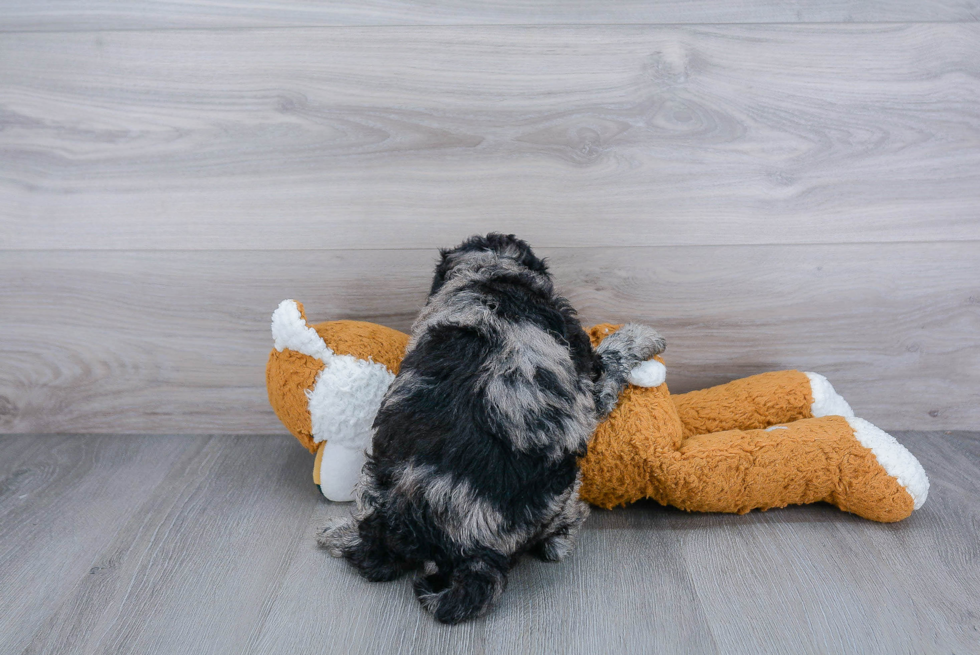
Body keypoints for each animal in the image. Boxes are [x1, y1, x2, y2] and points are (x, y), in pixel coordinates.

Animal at [318, 234, 664, 624]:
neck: (490, 279)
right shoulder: (588, 385)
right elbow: (612, 358)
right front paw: (641, 336)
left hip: (374, 479)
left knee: (367, 542)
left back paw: (338, 533)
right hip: (559, 484)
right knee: (552, 541)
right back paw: (567, 530)